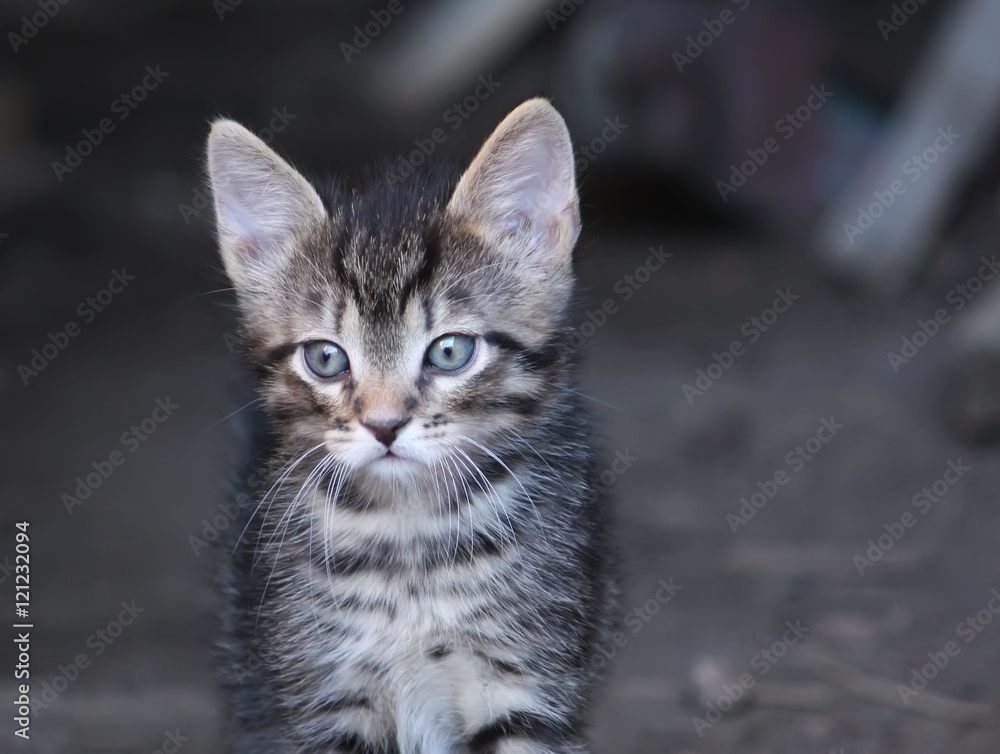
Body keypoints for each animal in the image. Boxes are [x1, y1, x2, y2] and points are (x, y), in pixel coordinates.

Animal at [209, 98, 616, 752]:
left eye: (450, 351)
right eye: (326, 358)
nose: (384, 425)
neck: (412, 543)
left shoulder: (525, 675)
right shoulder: (325, 691)